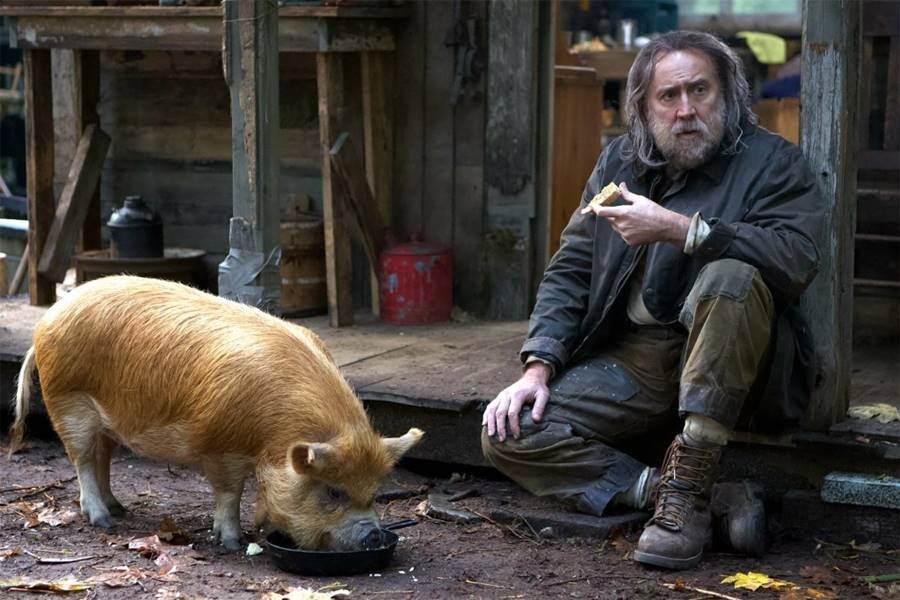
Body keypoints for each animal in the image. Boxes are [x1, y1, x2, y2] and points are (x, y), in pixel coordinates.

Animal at [9, 275, 423, 551]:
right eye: (334, 491)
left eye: (373, 493)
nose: (373, 535)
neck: (273, 433)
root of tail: (45, 322)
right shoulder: (220, 446)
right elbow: (229, 492)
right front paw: (233, 542)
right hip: (68, 402)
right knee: (81, 459)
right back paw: (104, 521)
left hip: (106, 421)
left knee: (102, 457)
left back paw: (119, 509)